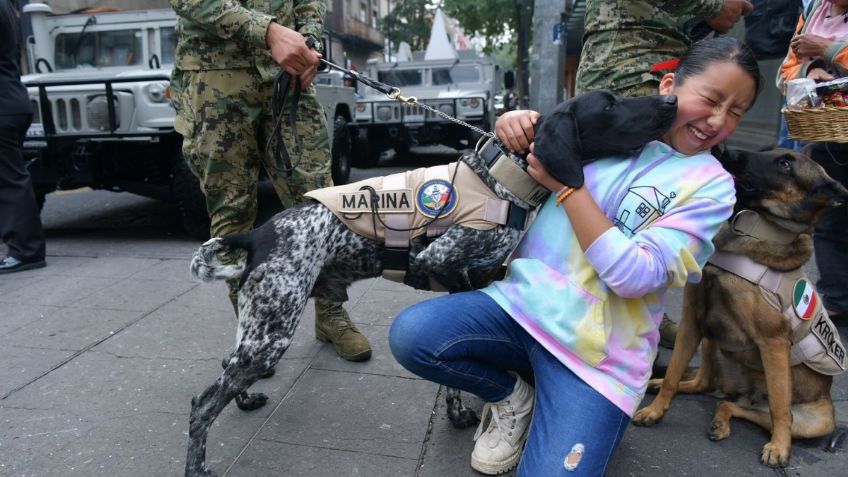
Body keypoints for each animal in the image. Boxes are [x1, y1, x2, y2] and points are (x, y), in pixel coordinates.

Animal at [184, 90, 676, 476]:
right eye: (609, 104)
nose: (670, 101)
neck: (504, 181)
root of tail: (258, 232)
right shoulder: (440, 261)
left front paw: (459, 411)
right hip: (272, 329)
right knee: (202, 406)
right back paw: (198, 465)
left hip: (261, 327)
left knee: (227, 369)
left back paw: (246, 399)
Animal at [632, 147, 844, 466]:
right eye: (767, 151)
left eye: (785, 164)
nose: (726, 151)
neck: (750, 233)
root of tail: (743, 393)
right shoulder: (693, 320)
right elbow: (672, 374)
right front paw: (655, 410)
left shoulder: (773, 342)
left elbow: (781, 408)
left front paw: (779, 447)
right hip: (712, 340)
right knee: (706, 385)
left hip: (815, 421)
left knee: (758, 409)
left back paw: (732, 423)